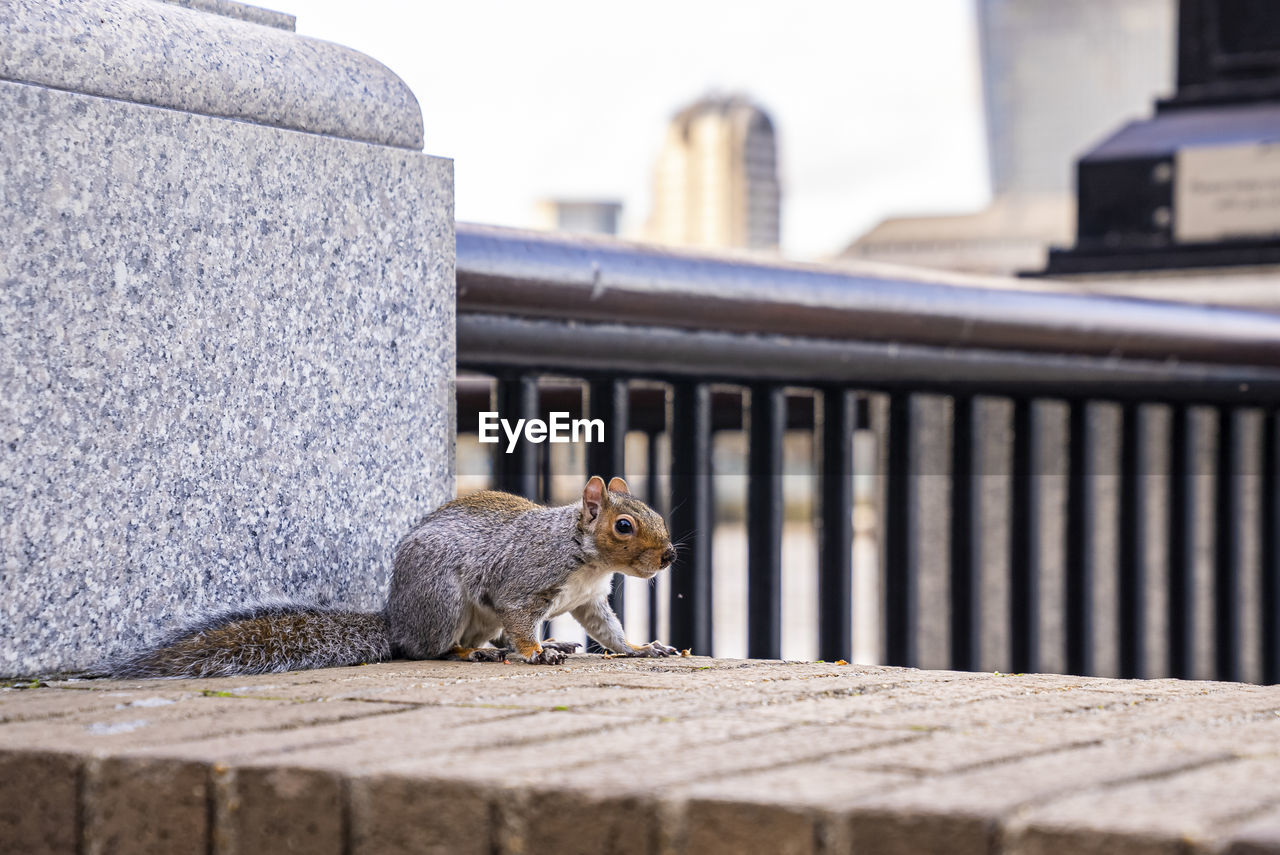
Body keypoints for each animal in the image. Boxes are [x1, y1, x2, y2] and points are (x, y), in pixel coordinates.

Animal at [110, 473, 680, 680]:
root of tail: (395, 617)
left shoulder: (588, 599)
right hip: (444, 602)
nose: (670, 556)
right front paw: (538, 652)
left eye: (653, 511)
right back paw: (475, 653)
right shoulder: (525, 581)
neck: (586, 556)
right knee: (425, 649)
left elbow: (609, 631)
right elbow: (521, 622)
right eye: (624, 526)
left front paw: (642, 648)